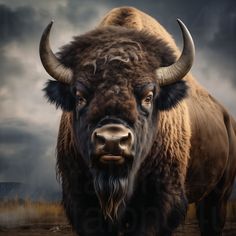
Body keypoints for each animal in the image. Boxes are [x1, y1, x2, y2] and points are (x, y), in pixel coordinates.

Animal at [39, 6, 236, 235]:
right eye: (79, 96)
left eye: (148, 96)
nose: (112, 141)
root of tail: (227, 118)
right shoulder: (80, 198)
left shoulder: (159, 199)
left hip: (219, 194)